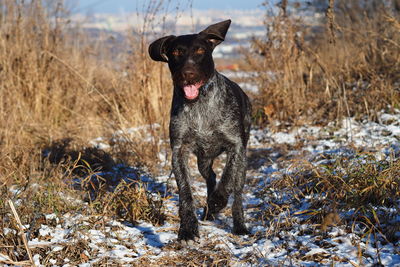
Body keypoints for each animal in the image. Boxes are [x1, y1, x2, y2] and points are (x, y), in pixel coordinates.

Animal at [148, 19, 252, 243]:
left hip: (242, 162)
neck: (199, 105)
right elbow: (185, 191)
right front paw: (188, 228)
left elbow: (228, 177)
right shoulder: (179, 150)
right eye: (176, 52)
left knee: (237, 191)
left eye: (200, 51)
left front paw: (217, 201)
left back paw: (238, 224)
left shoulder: (236, 147)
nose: (188, 74)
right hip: (203, 160)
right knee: (211, 176)